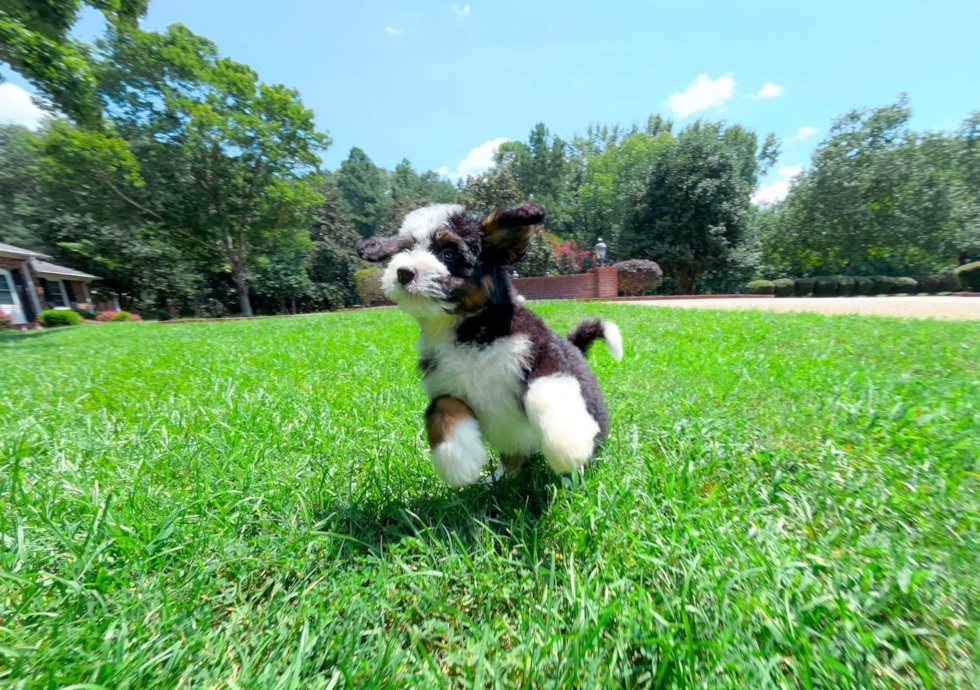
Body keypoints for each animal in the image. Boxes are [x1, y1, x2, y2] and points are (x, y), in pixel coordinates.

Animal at [356, 202, 624, 486]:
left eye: (449, 253)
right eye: (405, 250)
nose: (404, 272)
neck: (469, 332)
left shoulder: (542, 354)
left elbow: (544, 392)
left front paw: (567, 445)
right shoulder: (442, 383)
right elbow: (439, 409)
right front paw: (458, 462)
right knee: (513, 459)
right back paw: (499, 478)